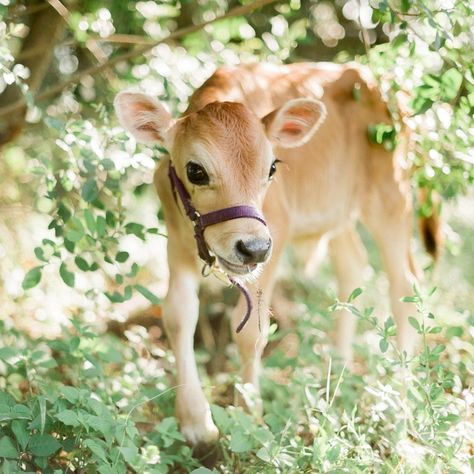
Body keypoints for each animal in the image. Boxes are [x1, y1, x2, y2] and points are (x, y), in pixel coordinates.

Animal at [114, 61, 436, 446]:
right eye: (195, 170)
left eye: (271, 168)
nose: (252, 247)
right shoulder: (176, 243)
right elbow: (179, 315)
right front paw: (194, 421)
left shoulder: (275, 237)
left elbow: (251, 330)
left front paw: (248, 418)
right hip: (339, 210)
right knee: (352, 266)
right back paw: (337, 374)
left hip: (391, 196)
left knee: (406, 287)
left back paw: (399, 409)